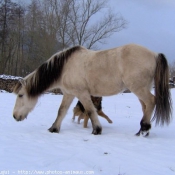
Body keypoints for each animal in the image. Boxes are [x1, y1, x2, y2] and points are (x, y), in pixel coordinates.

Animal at [12, 43, 172, 135]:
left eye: (20, 95)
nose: (14, 116)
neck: (65, 67)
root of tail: (155, 54)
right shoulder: (69, 94)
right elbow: (61, 111)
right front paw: (54, 129)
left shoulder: (82, 93)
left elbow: (90, 110)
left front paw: (97, 129)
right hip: (141, 89)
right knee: (145, 107)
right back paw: (142, 130)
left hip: (139, 88)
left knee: (151, 102)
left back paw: (144, 129)